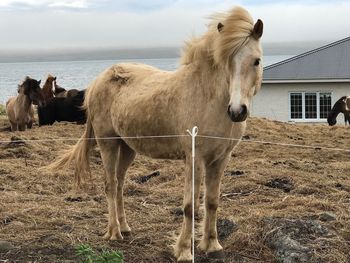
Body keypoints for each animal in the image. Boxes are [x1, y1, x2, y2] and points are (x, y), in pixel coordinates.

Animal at [47, 6, 264, 262]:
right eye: (226, 62)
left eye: (256, 61)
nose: (237, 111)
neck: (209, 98)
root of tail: (96, 82)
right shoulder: (194, 158)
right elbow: (190, 206)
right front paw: (183, 250)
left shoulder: (220, 159)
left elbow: (212, 202)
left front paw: (212, 245)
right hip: (107, 143)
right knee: (110, 185)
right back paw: (114, 233)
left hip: (127, 148)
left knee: (120, 185)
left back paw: (125, 227)